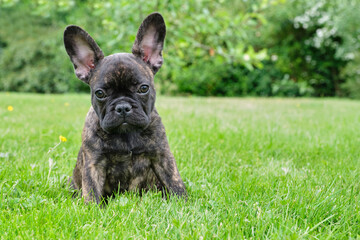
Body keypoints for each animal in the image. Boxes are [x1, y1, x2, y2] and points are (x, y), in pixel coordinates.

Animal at [63, 12, 187, 204]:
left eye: (143, 88)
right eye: (100, 93)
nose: (122, 107)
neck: (127, 135)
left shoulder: (162, 156)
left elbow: (174, 181)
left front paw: (184, 203)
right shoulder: (94, 164)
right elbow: (91, 190)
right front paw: (92, 208)